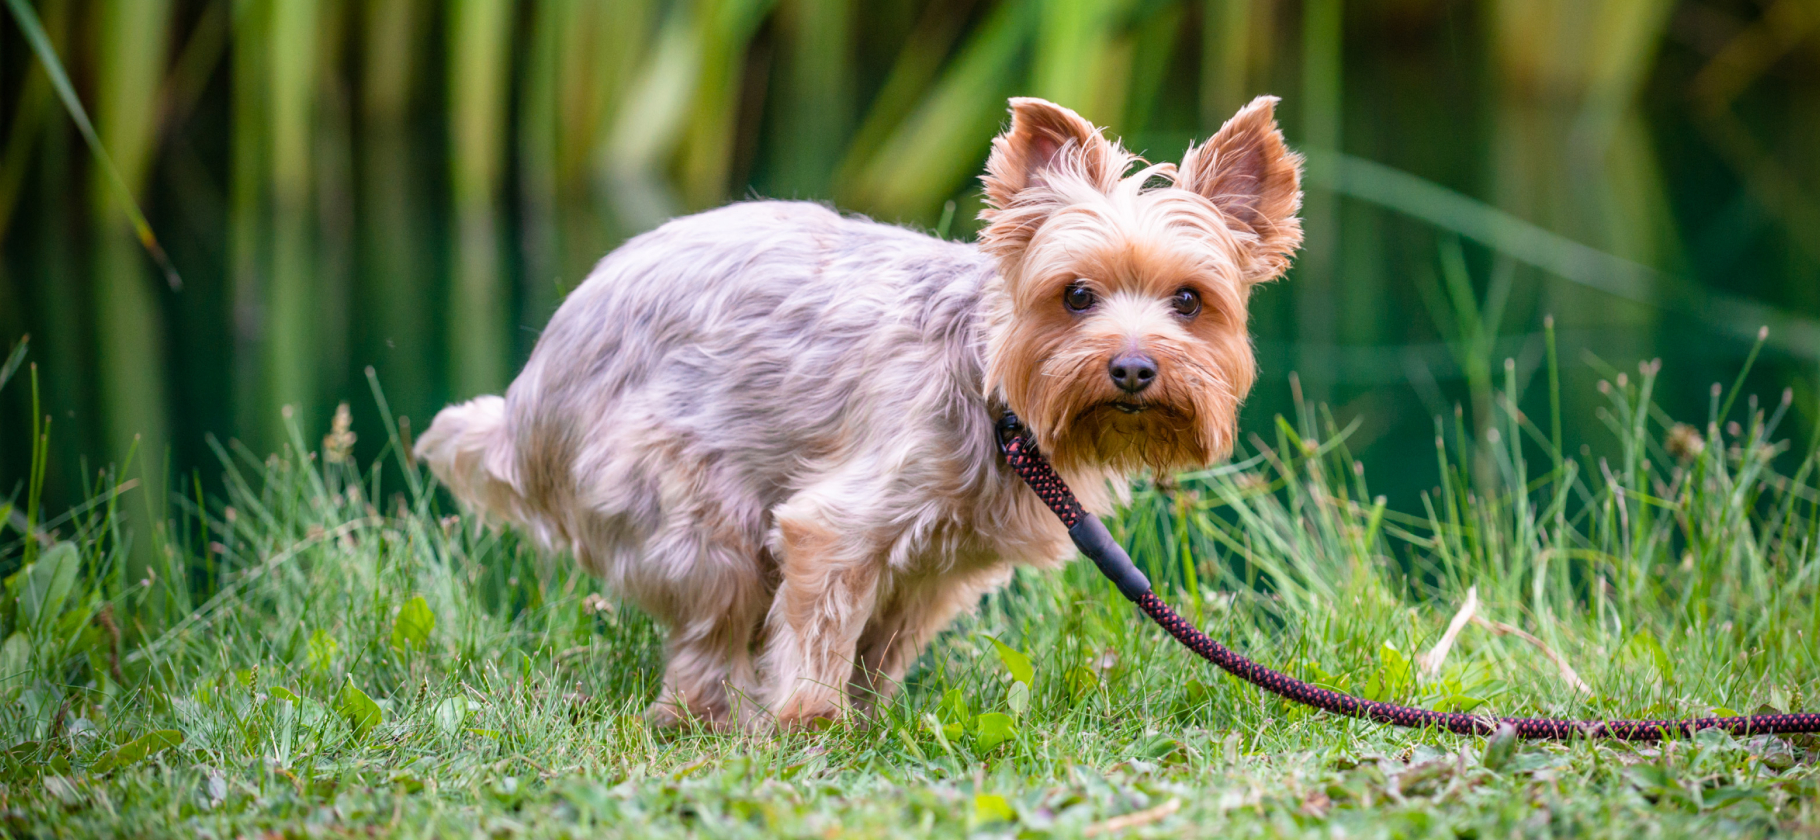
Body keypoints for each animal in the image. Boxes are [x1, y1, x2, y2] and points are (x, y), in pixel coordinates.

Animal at [416, 96, 1295, 727]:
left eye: (1190, 301)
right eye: (1076, 295)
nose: (1133, 367)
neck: (995, 393)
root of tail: (527, 407)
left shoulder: (934, 572)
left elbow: (881, 646)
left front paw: (869, 721)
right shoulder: (837, 527)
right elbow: (820, 634)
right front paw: (811, 724)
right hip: (687, 504)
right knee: (708, 632)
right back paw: (712, 717)